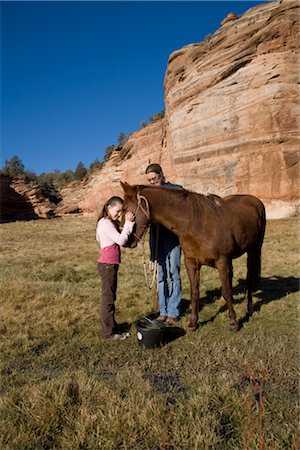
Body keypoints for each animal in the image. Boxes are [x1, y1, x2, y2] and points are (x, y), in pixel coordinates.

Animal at [120, 181, 266, 332]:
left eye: (124, 209)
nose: (126, 240)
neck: (196, 223)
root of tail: (255, 201)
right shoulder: (191, 263)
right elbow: (194, 292)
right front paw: (193, 323)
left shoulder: (222, 262)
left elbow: (226, 291)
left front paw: (233, 322)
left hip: (254, 250)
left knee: (250, 277)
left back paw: (249, 307)